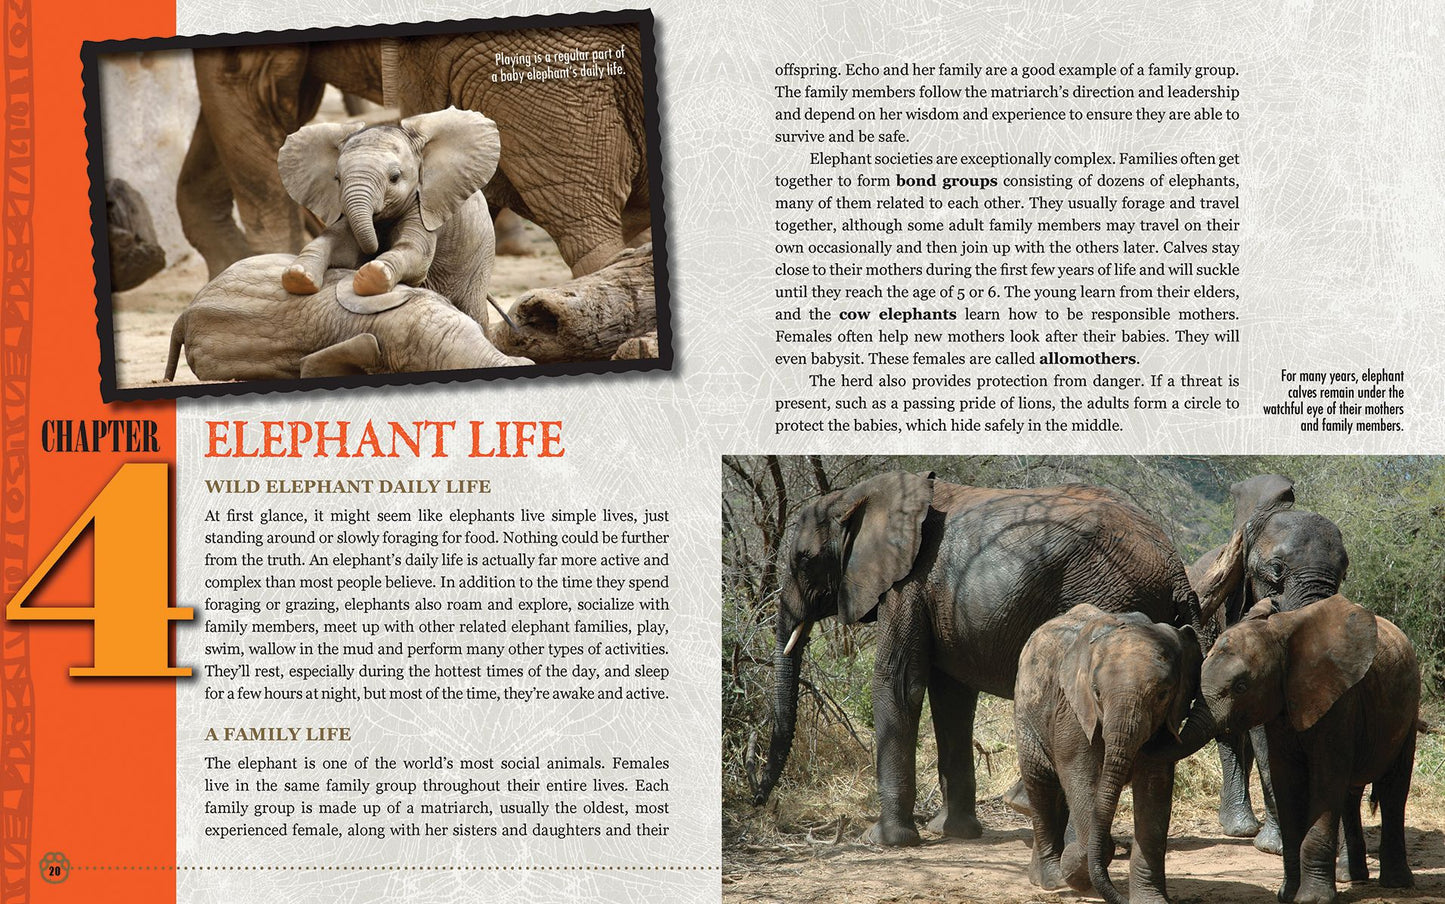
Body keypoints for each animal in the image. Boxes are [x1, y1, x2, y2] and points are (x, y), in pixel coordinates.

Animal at [277, 107, 499, 325]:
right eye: (337, 179)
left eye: (395, 178)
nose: (375, 249)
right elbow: (337, 242)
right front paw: (297, 276)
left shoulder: (425, 206)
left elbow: (415, 252)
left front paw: (372, 275)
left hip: (480, 258)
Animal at [753, 471, 1216, 847]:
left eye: (803, 560)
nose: (758, 801)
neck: (859, 495)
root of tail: (1176, 568)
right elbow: (951, 698)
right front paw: (954, 833)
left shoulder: (908, 585)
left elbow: (898, 683)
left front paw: (883, 841)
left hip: (1109, 596)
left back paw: (1031, 811)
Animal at [1015, 605, 1200, 904]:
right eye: (1097, 693)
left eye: (1162, 695)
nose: (1122, 899)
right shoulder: (1073, 710)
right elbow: (1080, 776)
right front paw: (1074, 868)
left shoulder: (1164, 722)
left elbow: (1154, 787)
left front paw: (1150, 901)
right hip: (1026, 713)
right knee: (1040, 784)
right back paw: (1052, 879)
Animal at [1160, 595, 1419, 904]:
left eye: (1241, 686)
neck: (1279, 635)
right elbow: (1286, 782)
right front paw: (1287, 895)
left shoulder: (1339, 704)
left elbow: (1326, 782)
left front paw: (1312, 899)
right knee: (1350, 796)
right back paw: (1351, 877)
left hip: (1408, 712)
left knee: (1393, 790)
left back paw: (1396, 884)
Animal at [1186, 475, 1349, 853]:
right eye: (1277, 571)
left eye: (1344, 571)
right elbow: (1264, 732)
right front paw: (1277, 847)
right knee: (1229, 728)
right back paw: (1240, 829)